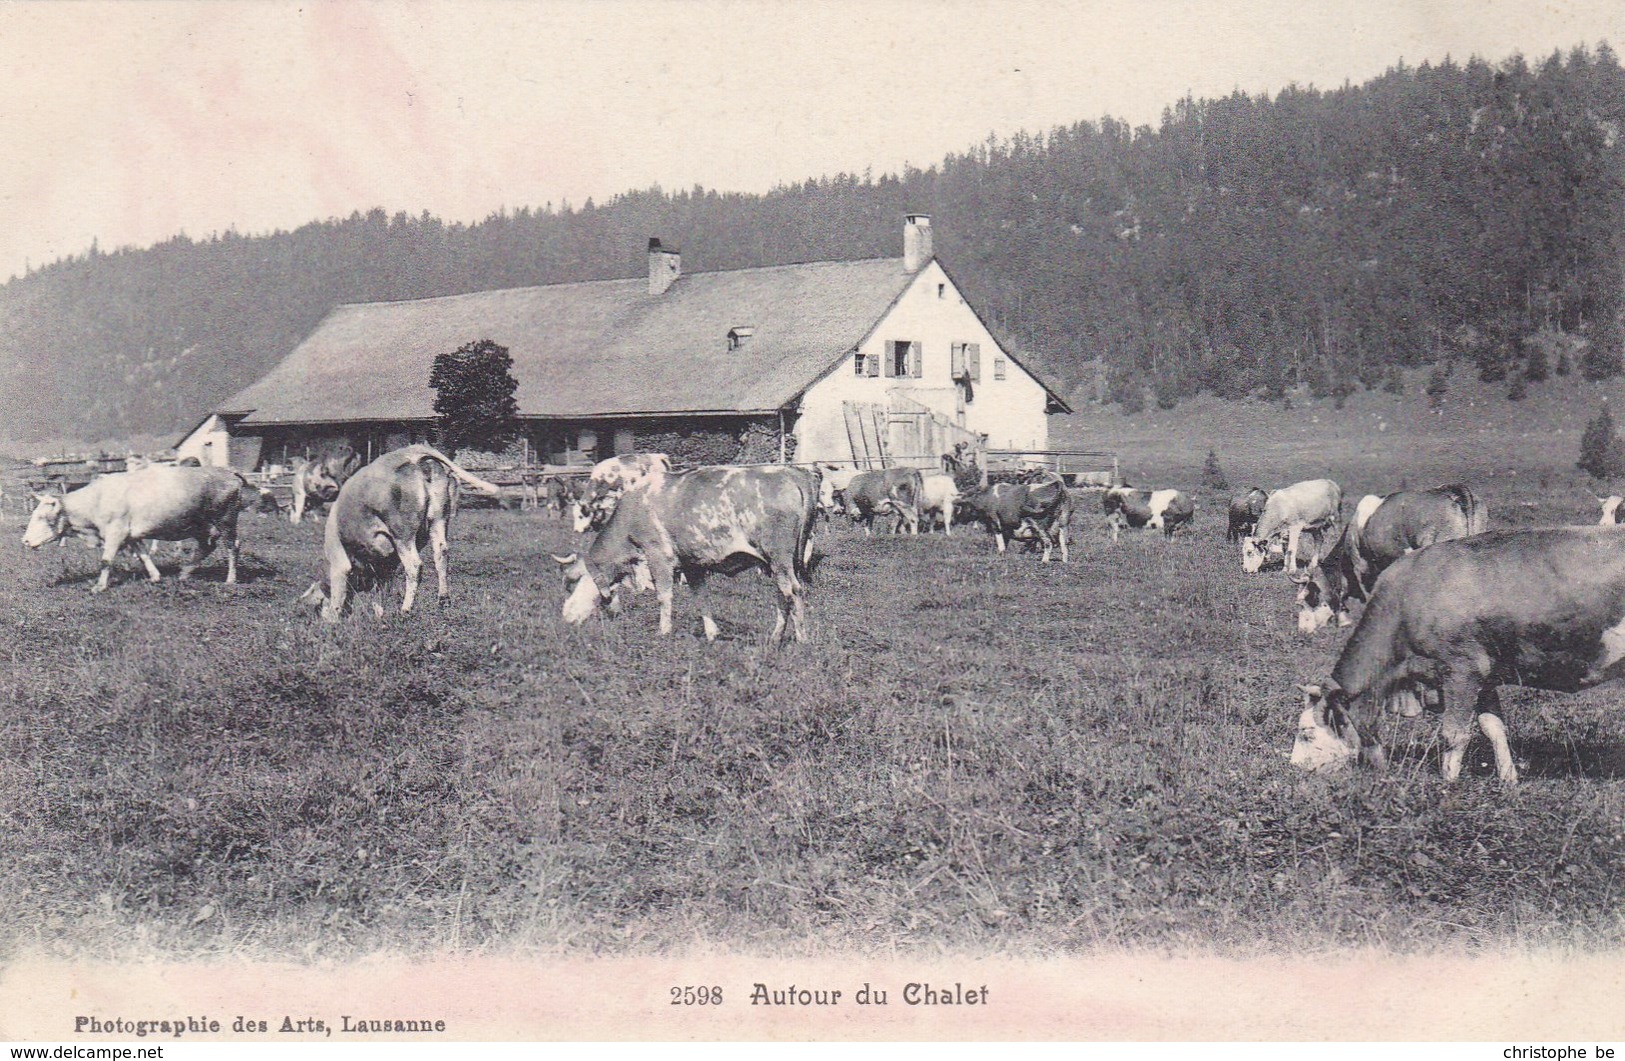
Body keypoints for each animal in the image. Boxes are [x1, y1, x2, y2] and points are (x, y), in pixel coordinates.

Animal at [22, 464, 245, 591]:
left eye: (42, 517)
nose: (24, 540)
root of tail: (229, 472)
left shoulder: (116, 532)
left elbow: (106, 560)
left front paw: (99, 586)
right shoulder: (131, 535)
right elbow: (144, 555)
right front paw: (155, 576)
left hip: (225, 520)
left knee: (232, 547)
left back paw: (230, 579)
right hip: (201, 525)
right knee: (206, 546)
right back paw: (185, 572)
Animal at [299, 441, 500, 620]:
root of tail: (410, 453)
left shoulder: (340, 561)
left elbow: (339, 595)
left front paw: (333, 621)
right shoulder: (387, 562)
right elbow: (381, 588)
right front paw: (379, 613)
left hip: (402, 532)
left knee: (414, 565)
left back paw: (405, 609)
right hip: (439, 519)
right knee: (441, 555)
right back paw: (443, 600)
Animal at [549, 461, 819, 640]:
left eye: (572, 583)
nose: (565, 616)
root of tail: (789, 472)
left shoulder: (657, 555)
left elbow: (664, 595)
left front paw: (664, 632)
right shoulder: (693, 564)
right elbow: (701, 598)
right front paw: (712, 634)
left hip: (779, 556)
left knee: (794, 592)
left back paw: (801, 639)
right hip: (775, 562)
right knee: (782, 594)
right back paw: (775, 638)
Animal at [1293, 526, 1625, 783]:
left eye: (1306, 733)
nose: (1293, 767)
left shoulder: (1461, 670)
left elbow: (1454, 734)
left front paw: (1447, 785)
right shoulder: (1486, 675)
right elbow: (1493, 727)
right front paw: (1508, 778)